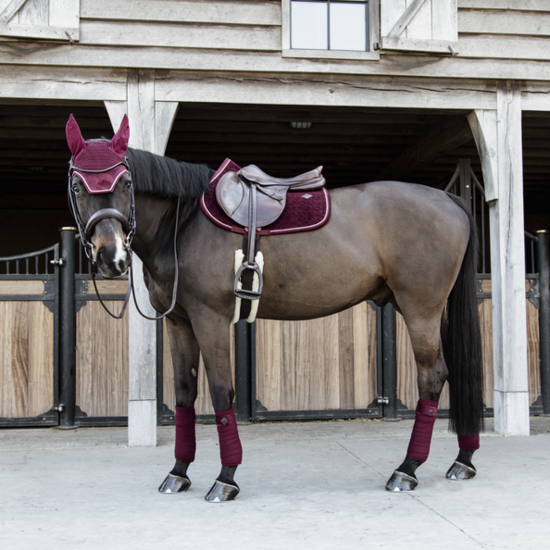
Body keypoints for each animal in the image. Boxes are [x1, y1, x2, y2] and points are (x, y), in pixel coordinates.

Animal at [67, 114, 486, 502]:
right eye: (76, 185)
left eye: (125, 182)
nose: (110, 257)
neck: (183, 223)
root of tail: (449, 199)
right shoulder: (179, 321)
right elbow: (185, 393)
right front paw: (178, 472)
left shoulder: (210, 319)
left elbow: (221, 391)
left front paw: (226, 479)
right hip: (426, 310)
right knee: (455, 371)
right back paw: (462, 460)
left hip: (420, 311)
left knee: (432, 377)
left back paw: (407, 469)